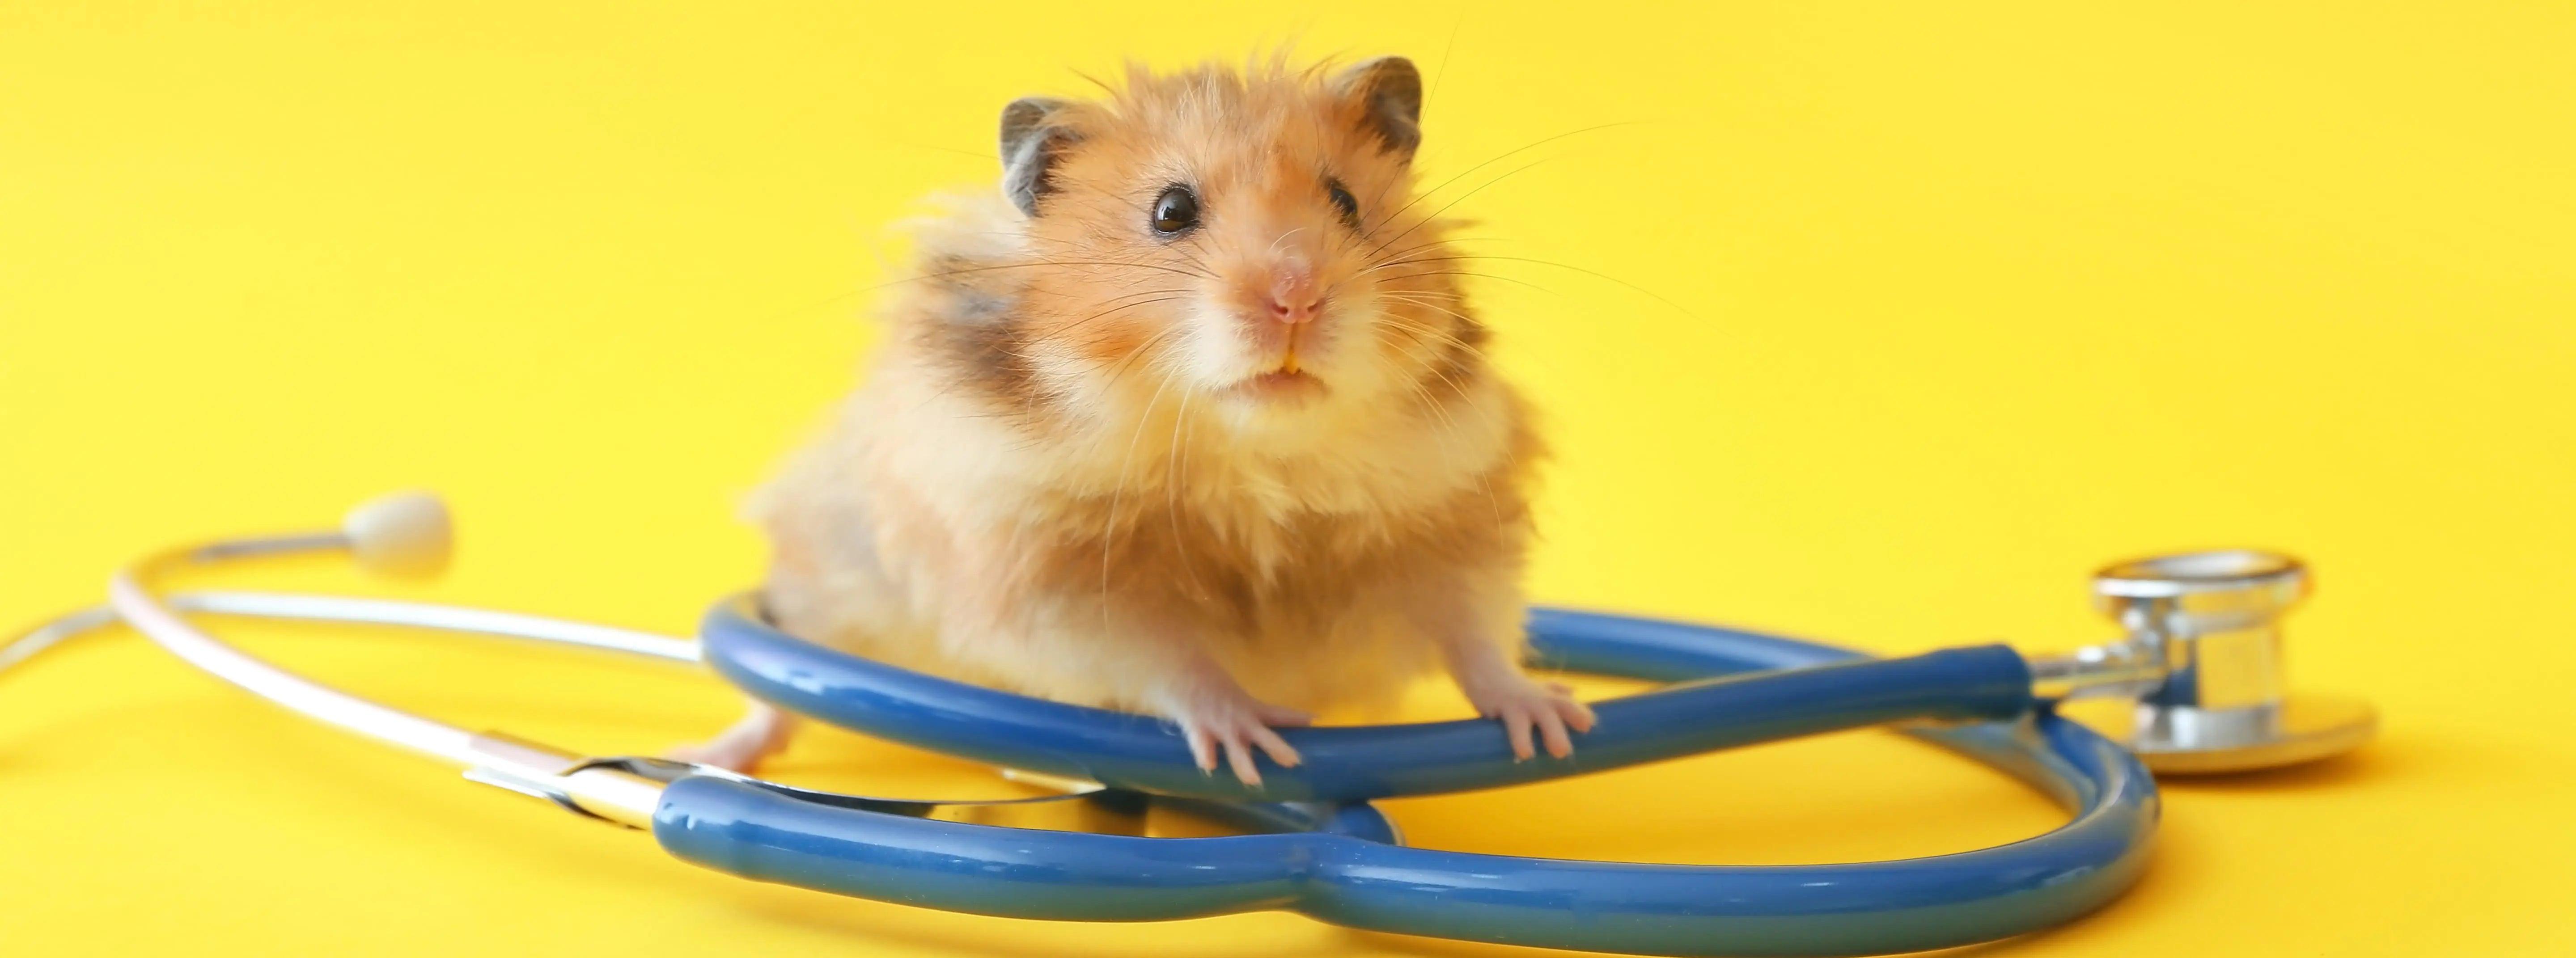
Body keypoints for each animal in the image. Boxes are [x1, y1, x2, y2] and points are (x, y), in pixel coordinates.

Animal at [672, 55, 1594, 784]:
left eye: (1345, 200)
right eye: (1171, 211)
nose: (1297, 297)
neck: (1250, 459)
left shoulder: (1447, 519)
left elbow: (1472, 632)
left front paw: (1554, 723)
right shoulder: (1060, 577)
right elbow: (1170, 661)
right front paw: (1253, 737)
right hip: (826, 580)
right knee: (781, 692)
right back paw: (705, 756)